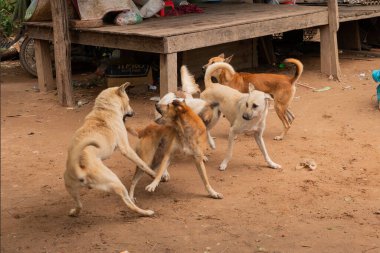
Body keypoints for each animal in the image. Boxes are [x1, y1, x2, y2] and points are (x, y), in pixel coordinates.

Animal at [63, 83, 157, 217]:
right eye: (128, 101)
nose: (133, 112)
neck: (104, 109)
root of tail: (78, 168)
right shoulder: (126, 148)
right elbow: (142, 164)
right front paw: (157, 175)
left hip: (70, 187)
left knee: (79, 205)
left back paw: (74, 213)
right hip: (116, 182)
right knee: (129, 203)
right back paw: (146, 212)